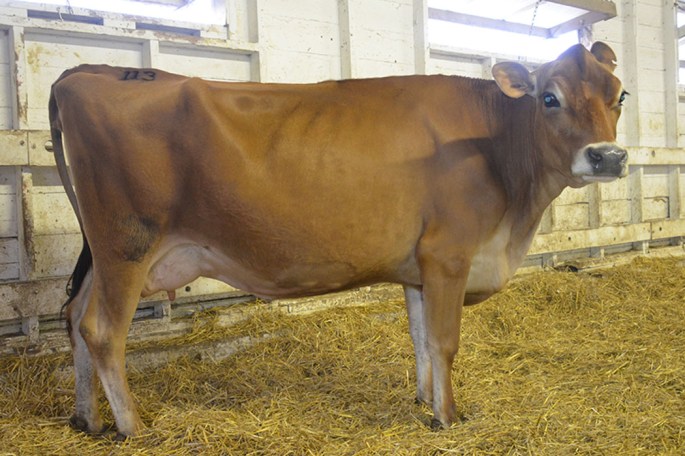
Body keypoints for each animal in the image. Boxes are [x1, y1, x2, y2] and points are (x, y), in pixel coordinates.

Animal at [49, 42, 627, 438]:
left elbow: (420, 339)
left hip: (106, 254)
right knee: (102, 330)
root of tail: (88, 73)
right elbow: (445, 341)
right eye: (549, 96)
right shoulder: (449, 254)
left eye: (619, 95)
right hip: (127, 245)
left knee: (74, 317)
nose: (608, 157)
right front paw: (448, 417)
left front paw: (423, 402)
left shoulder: (418, 266)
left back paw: (87, 419)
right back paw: (133, 427)